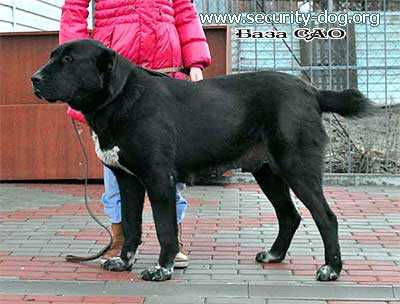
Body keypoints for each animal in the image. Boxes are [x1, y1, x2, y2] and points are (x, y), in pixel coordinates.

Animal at [32, 39, 374, 282]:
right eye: (52, 56)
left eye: (68, 60)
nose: (34, 79)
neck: (120, 99)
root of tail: (312, 91)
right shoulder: (128, 181)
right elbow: (130, 226)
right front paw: (124, 261)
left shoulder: (159, 179)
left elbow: (165, 229)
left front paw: (162, 269)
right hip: (268, 173)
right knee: (289, 216)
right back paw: (275, 255)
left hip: (297, 168)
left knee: (325, 217)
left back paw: (331, 270)